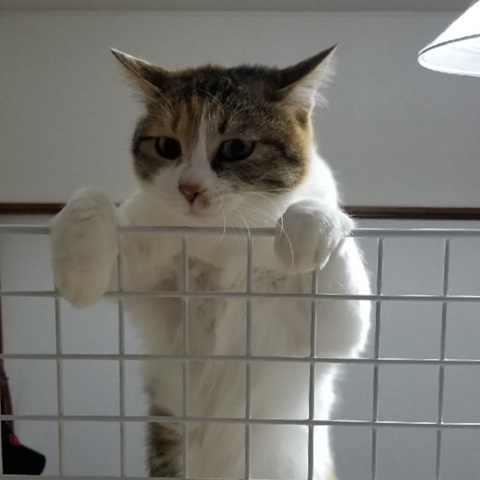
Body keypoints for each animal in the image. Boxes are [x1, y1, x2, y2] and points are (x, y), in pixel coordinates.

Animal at [50, 46, 371, 480]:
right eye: (167, 146)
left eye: (237, 148)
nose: (190, 188)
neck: (221, 238)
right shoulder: (147, 269)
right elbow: (91, 201)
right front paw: (80, 269)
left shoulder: (325, 336)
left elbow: (344, 313)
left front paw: (312, 223)